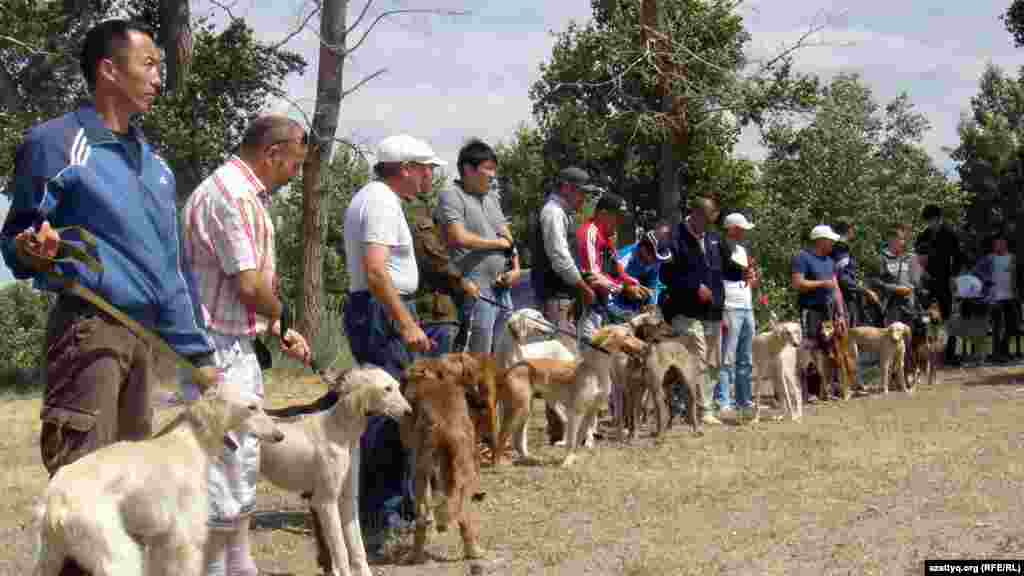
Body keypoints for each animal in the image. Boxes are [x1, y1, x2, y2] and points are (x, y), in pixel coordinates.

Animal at [32, 381, 284, 573]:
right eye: (251, 407)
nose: (279, 435)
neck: (192, 441)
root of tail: (54, 498)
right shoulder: (186, 538)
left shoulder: (161, 539)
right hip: (117, 555)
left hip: (51, 556)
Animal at [260, 364, 411, 573]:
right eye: (387, 389)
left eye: (398, 386)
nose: (410, 412)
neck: (341, 430)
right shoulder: (325, 502)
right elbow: (341, 552)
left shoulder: (348, 499)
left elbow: (357, 548)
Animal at [397, 354, 489, 561]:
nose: (483, 404)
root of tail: (445, 426)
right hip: (466, 474)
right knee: (462, 517)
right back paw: (473, 552)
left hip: (419, 474)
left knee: (423, 518)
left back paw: (415, 554)